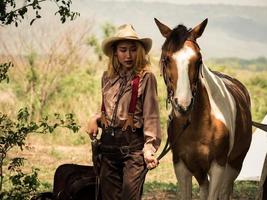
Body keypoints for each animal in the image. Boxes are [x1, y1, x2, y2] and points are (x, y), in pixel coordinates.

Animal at [155, 17, 267, 200]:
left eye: (199, 60)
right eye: (166, 59)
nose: (183, 106)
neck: (197, 126)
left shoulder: (218, 165)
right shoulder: (181, 165)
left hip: (234, 165)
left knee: (225, 191)